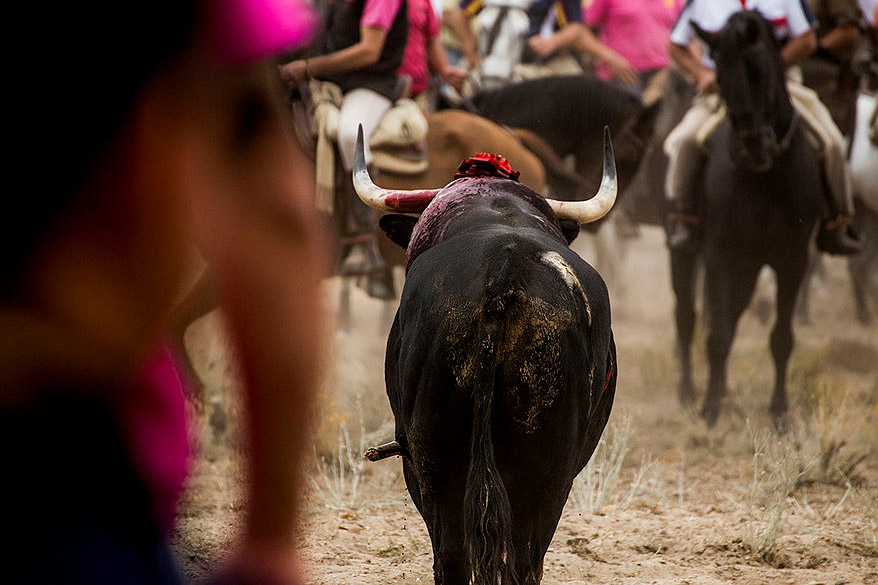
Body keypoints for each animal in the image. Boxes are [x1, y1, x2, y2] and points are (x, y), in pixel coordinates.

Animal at [672, 11, 824, 426]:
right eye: (719, 75)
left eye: (758, 71)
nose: (753, 146)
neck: (765, 179)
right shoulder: (719, 254)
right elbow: (718, 335)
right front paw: (710, 409)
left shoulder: (793, 259)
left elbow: (781, 339)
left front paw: (779, 412)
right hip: (688, 254)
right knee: (688, 316)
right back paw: (692, 390)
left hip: (751, 267)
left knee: (734, 312)